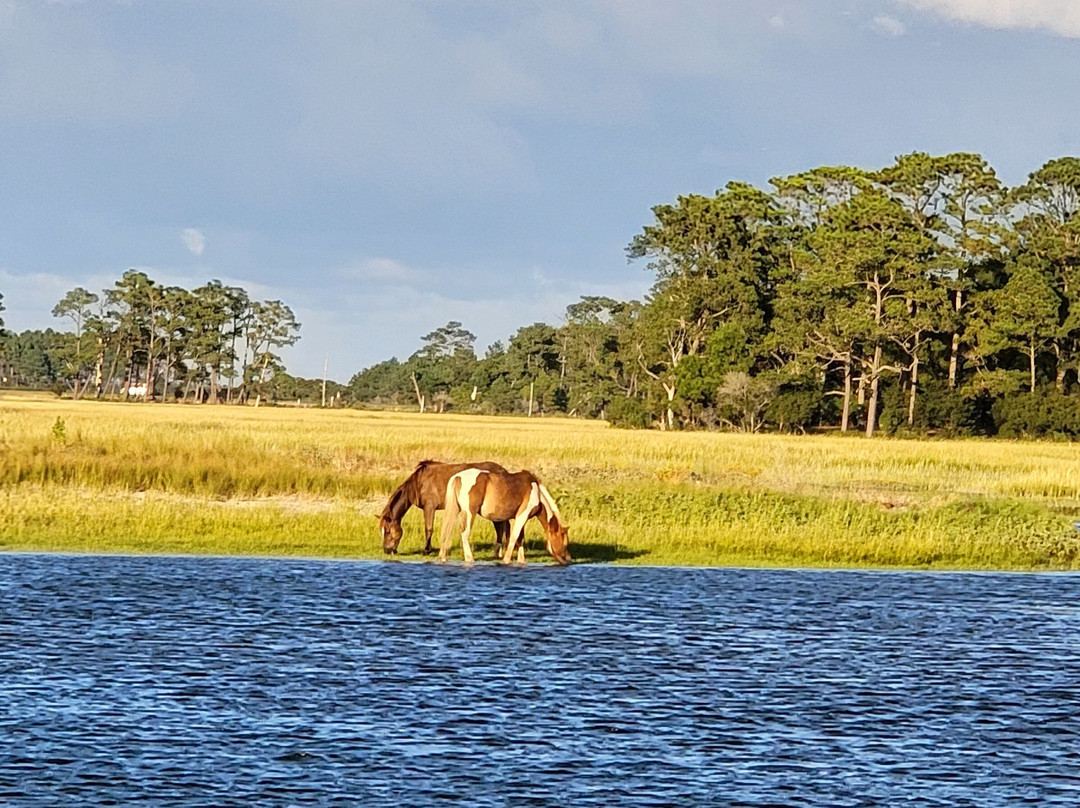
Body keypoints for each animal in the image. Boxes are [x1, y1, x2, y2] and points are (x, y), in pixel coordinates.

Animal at [379, 460, 511, 555]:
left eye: (388, 531)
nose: (386, 550)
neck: (419, 484)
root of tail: (504, 471)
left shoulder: (429, 507)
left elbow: (428, 529)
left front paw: (426, 550)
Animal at [439, 468, 571, 565]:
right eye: (565, 543)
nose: (568, 559)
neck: (537, 493)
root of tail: (458, 477)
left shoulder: (518, 518)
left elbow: (520, 539)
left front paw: (521, 560)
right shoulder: (522, 516)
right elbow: (514, 537)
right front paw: (506, 560)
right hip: (470, 513)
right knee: (465, 534)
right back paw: (469, 558)